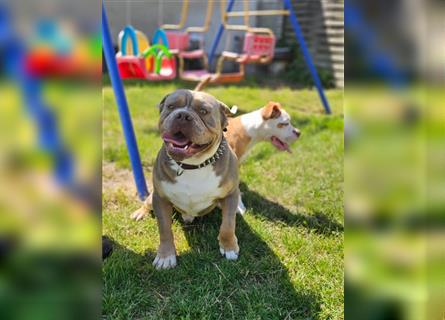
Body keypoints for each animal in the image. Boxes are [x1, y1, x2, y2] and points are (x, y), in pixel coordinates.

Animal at [134, 89, 241, 268]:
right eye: (171, 106)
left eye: (203, 111)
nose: (183, 115)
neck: (193, 165)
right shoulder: (160, 198)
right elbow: (165, 229)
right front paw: (165, 256)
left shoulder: (230, 195)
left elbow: (228, 225)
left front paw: (229, 247)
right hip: (152, 198)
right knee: (146, 203)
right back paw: (139, 213)